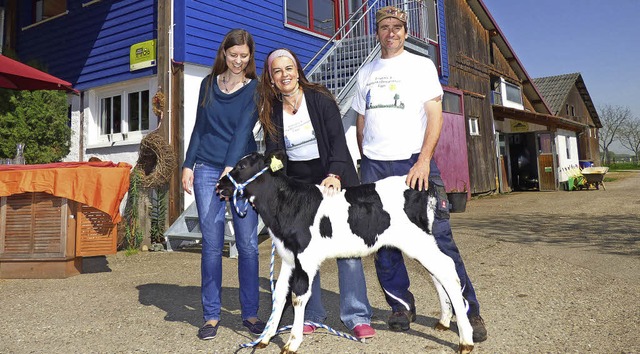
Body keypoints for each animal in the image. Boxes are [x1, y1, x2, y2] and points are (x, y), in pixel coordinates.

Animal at [218, 151, 472, 352]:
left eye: (242, 166)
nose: (219, 185)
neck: (286, 204)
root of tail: (417, 184)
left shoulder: (306, 259)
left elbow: (298, 297)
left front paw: (292, 342)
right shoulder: (289, 257)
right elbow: (280, 293)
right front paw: (265, 337)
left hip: (418, 241)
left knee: (448, 269)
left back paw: (466, 339)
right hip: (420, 243)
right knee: (437, 274)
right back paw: (444, 320)